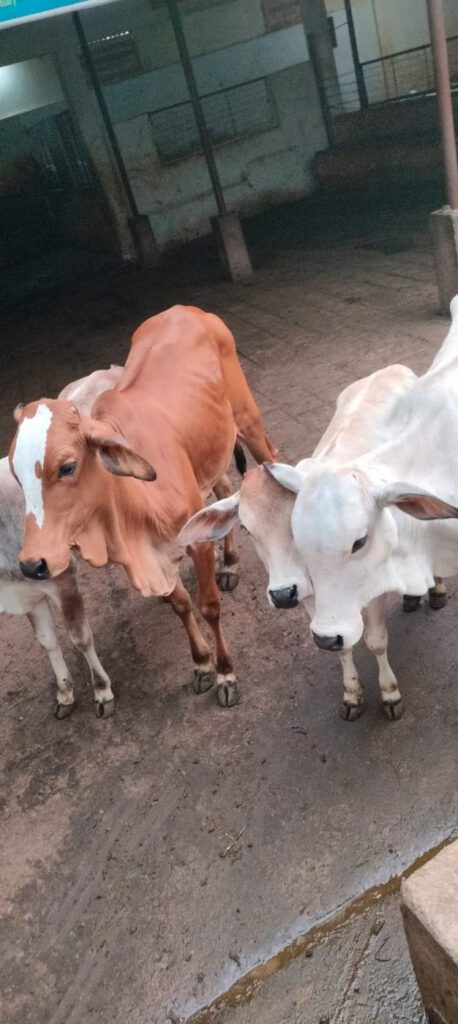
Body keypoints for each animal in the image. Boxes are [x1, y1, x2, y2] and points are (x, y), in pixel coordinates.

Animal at [0, 367, 119, 720]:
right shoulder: (28, 593)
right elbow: (47, 642)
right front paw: (65, 693)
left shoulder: (64, 580)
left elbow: (80, 638)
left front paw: (102, 691)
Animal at [9, 306, 277, 709]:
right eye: (15, 472)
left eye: (68, 467)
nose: (32, 564)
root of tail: (185, 309)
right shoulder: (151, 554)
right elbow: (180, 604)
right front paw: (201, 664)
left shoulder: (195, 541)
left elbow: (208, 606)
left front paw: (225, 674)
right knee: (224, 486)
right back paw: (229, 563)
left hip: (248, 419)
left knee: (271, 458)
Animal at [179, 361, 447, 720]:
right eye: (247, 529)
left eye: (295, 525)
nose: (281, 594)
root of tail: (391, 369)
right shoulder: (311, 599)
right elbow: (338, 644)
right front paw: (351, 694)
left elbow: (375, 640)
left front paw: (390, 694)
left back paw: (436, 590)